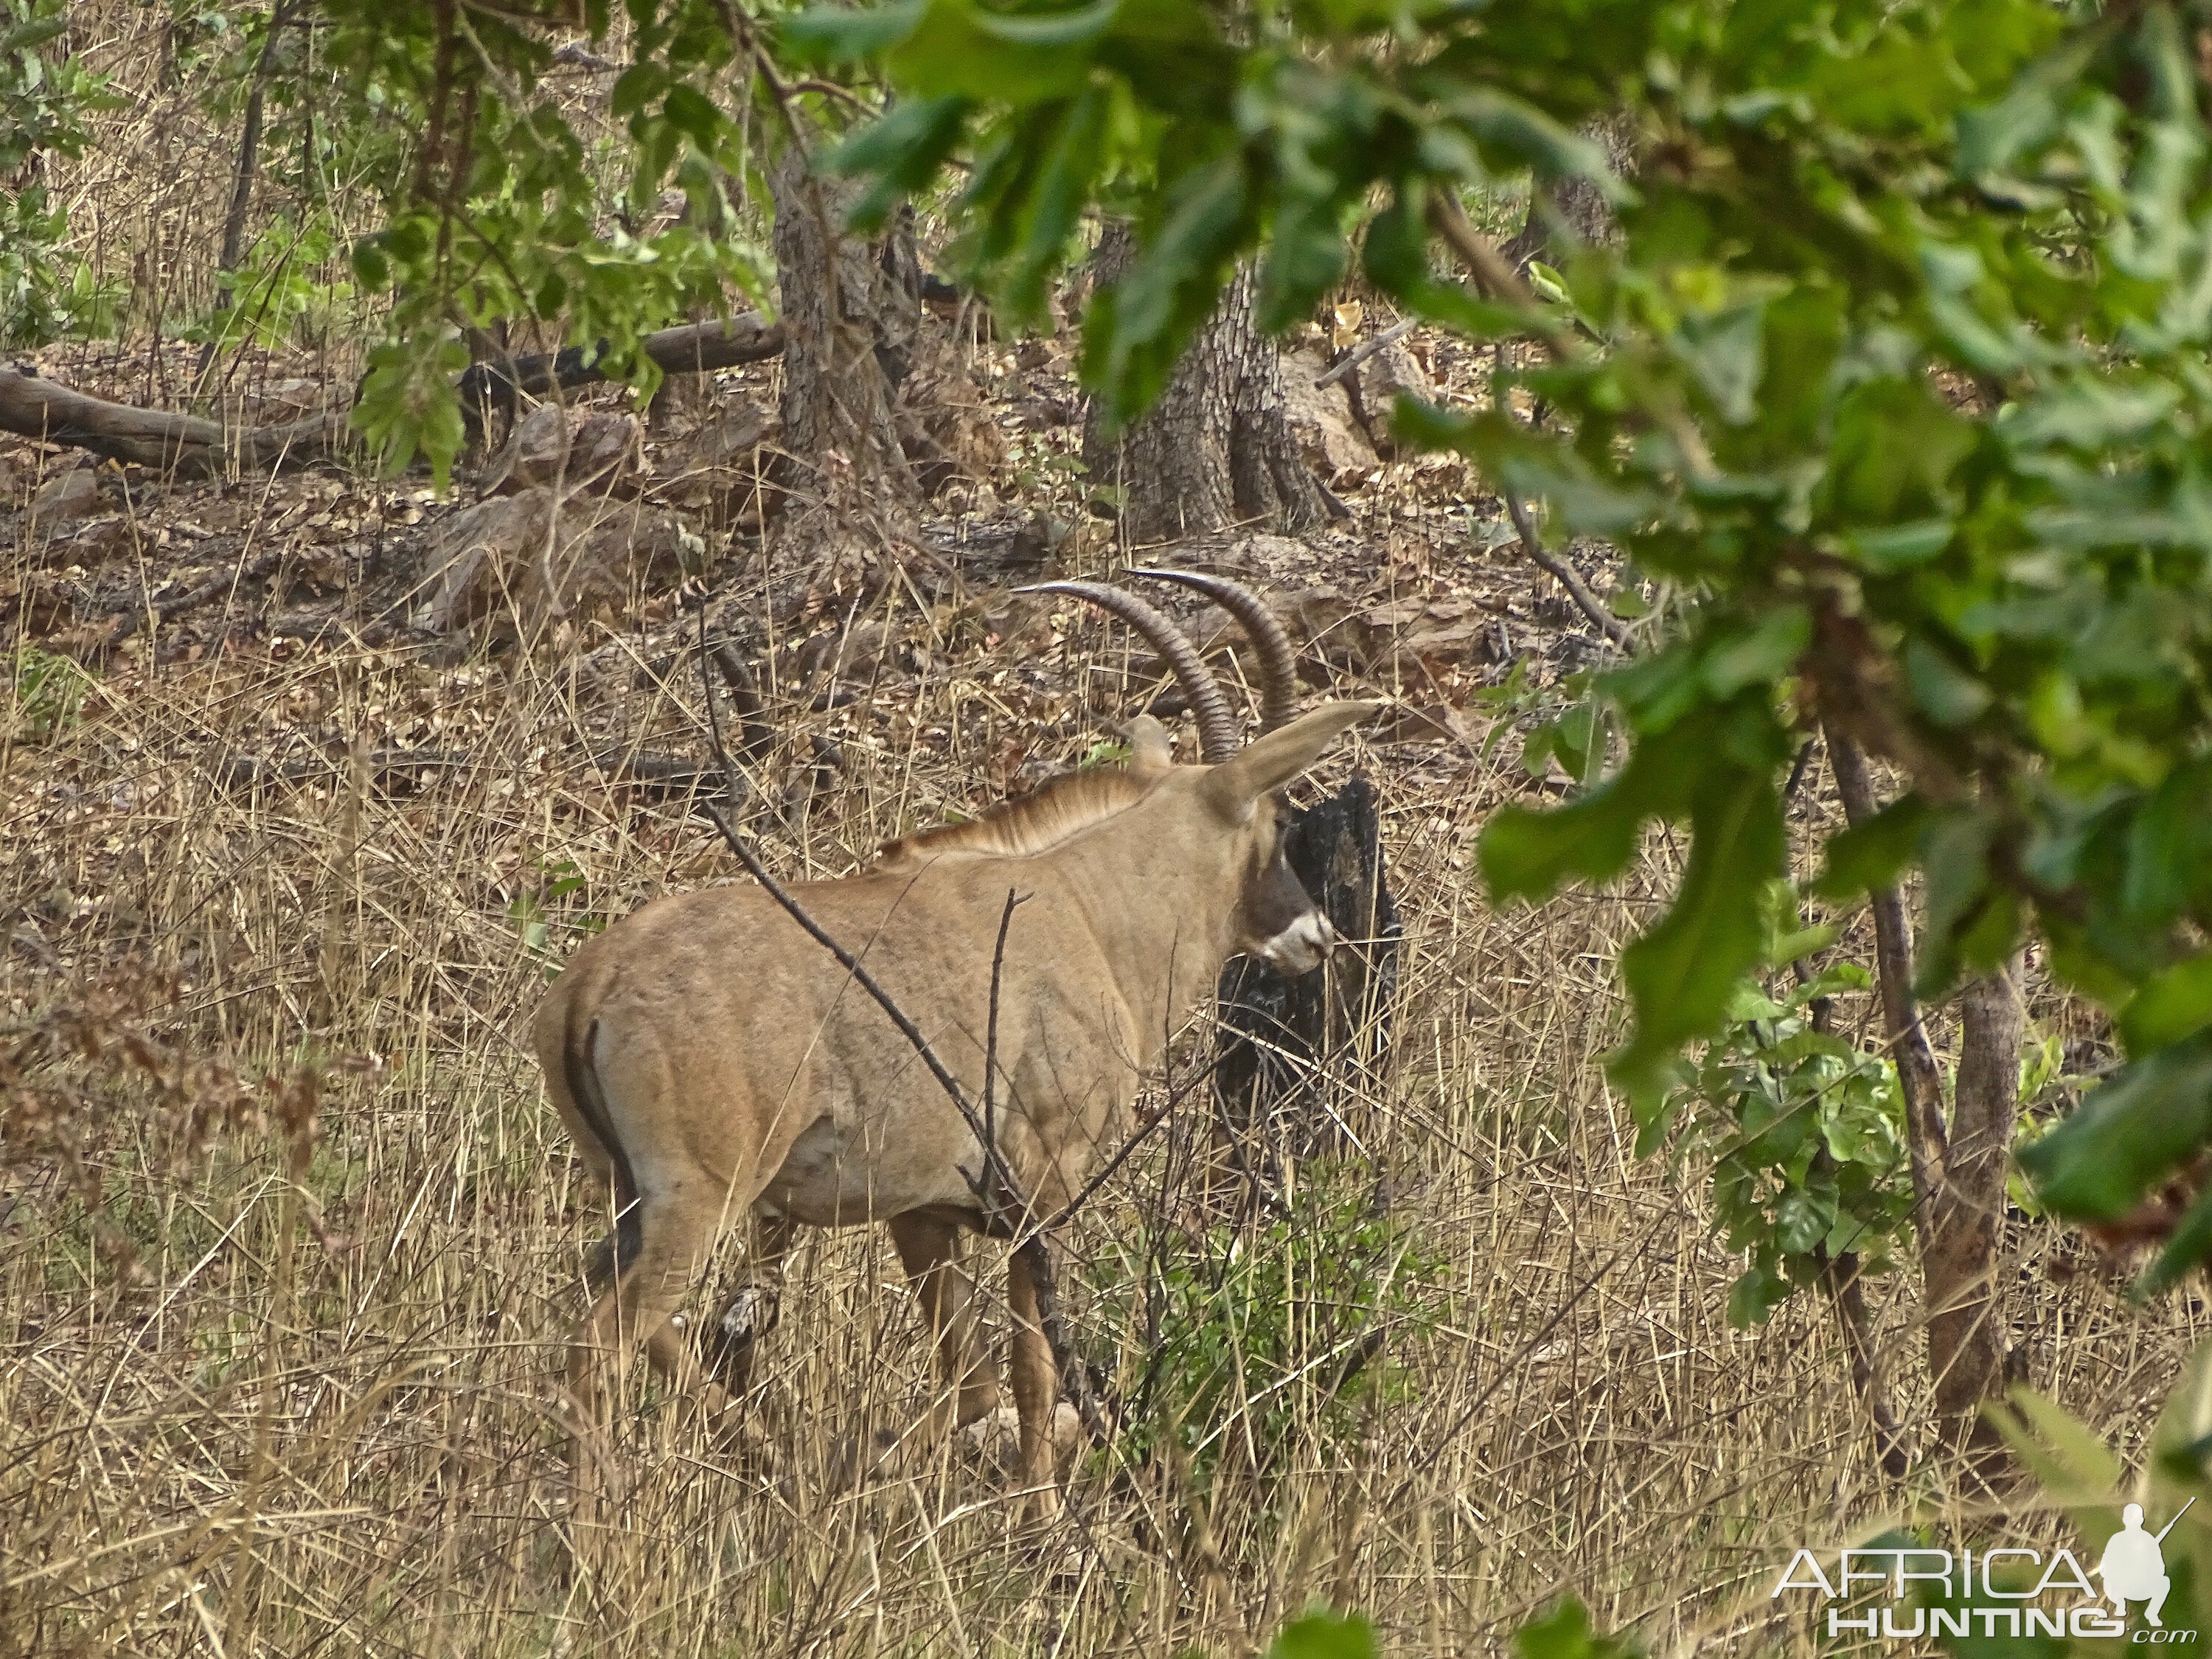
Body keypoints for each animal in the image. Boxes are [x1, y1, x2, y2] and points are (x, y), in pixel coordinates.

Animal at [526, 580, 1371, 1531]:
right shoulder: (1044, 1192)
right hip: (698, 1198)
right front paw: (1040, 1520)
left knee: (617, 1312)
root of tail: (594, 982)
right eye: (1275, 819)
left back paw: (771, 1461)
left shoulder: (923, 1213)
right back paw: (598, 1542)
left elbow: (971, 1380)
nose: (1316, 935)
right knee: (598, 1352)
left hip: (627, 1194)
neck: (1086, 909)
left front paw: (866, 1478)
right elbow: (1031, 1368)